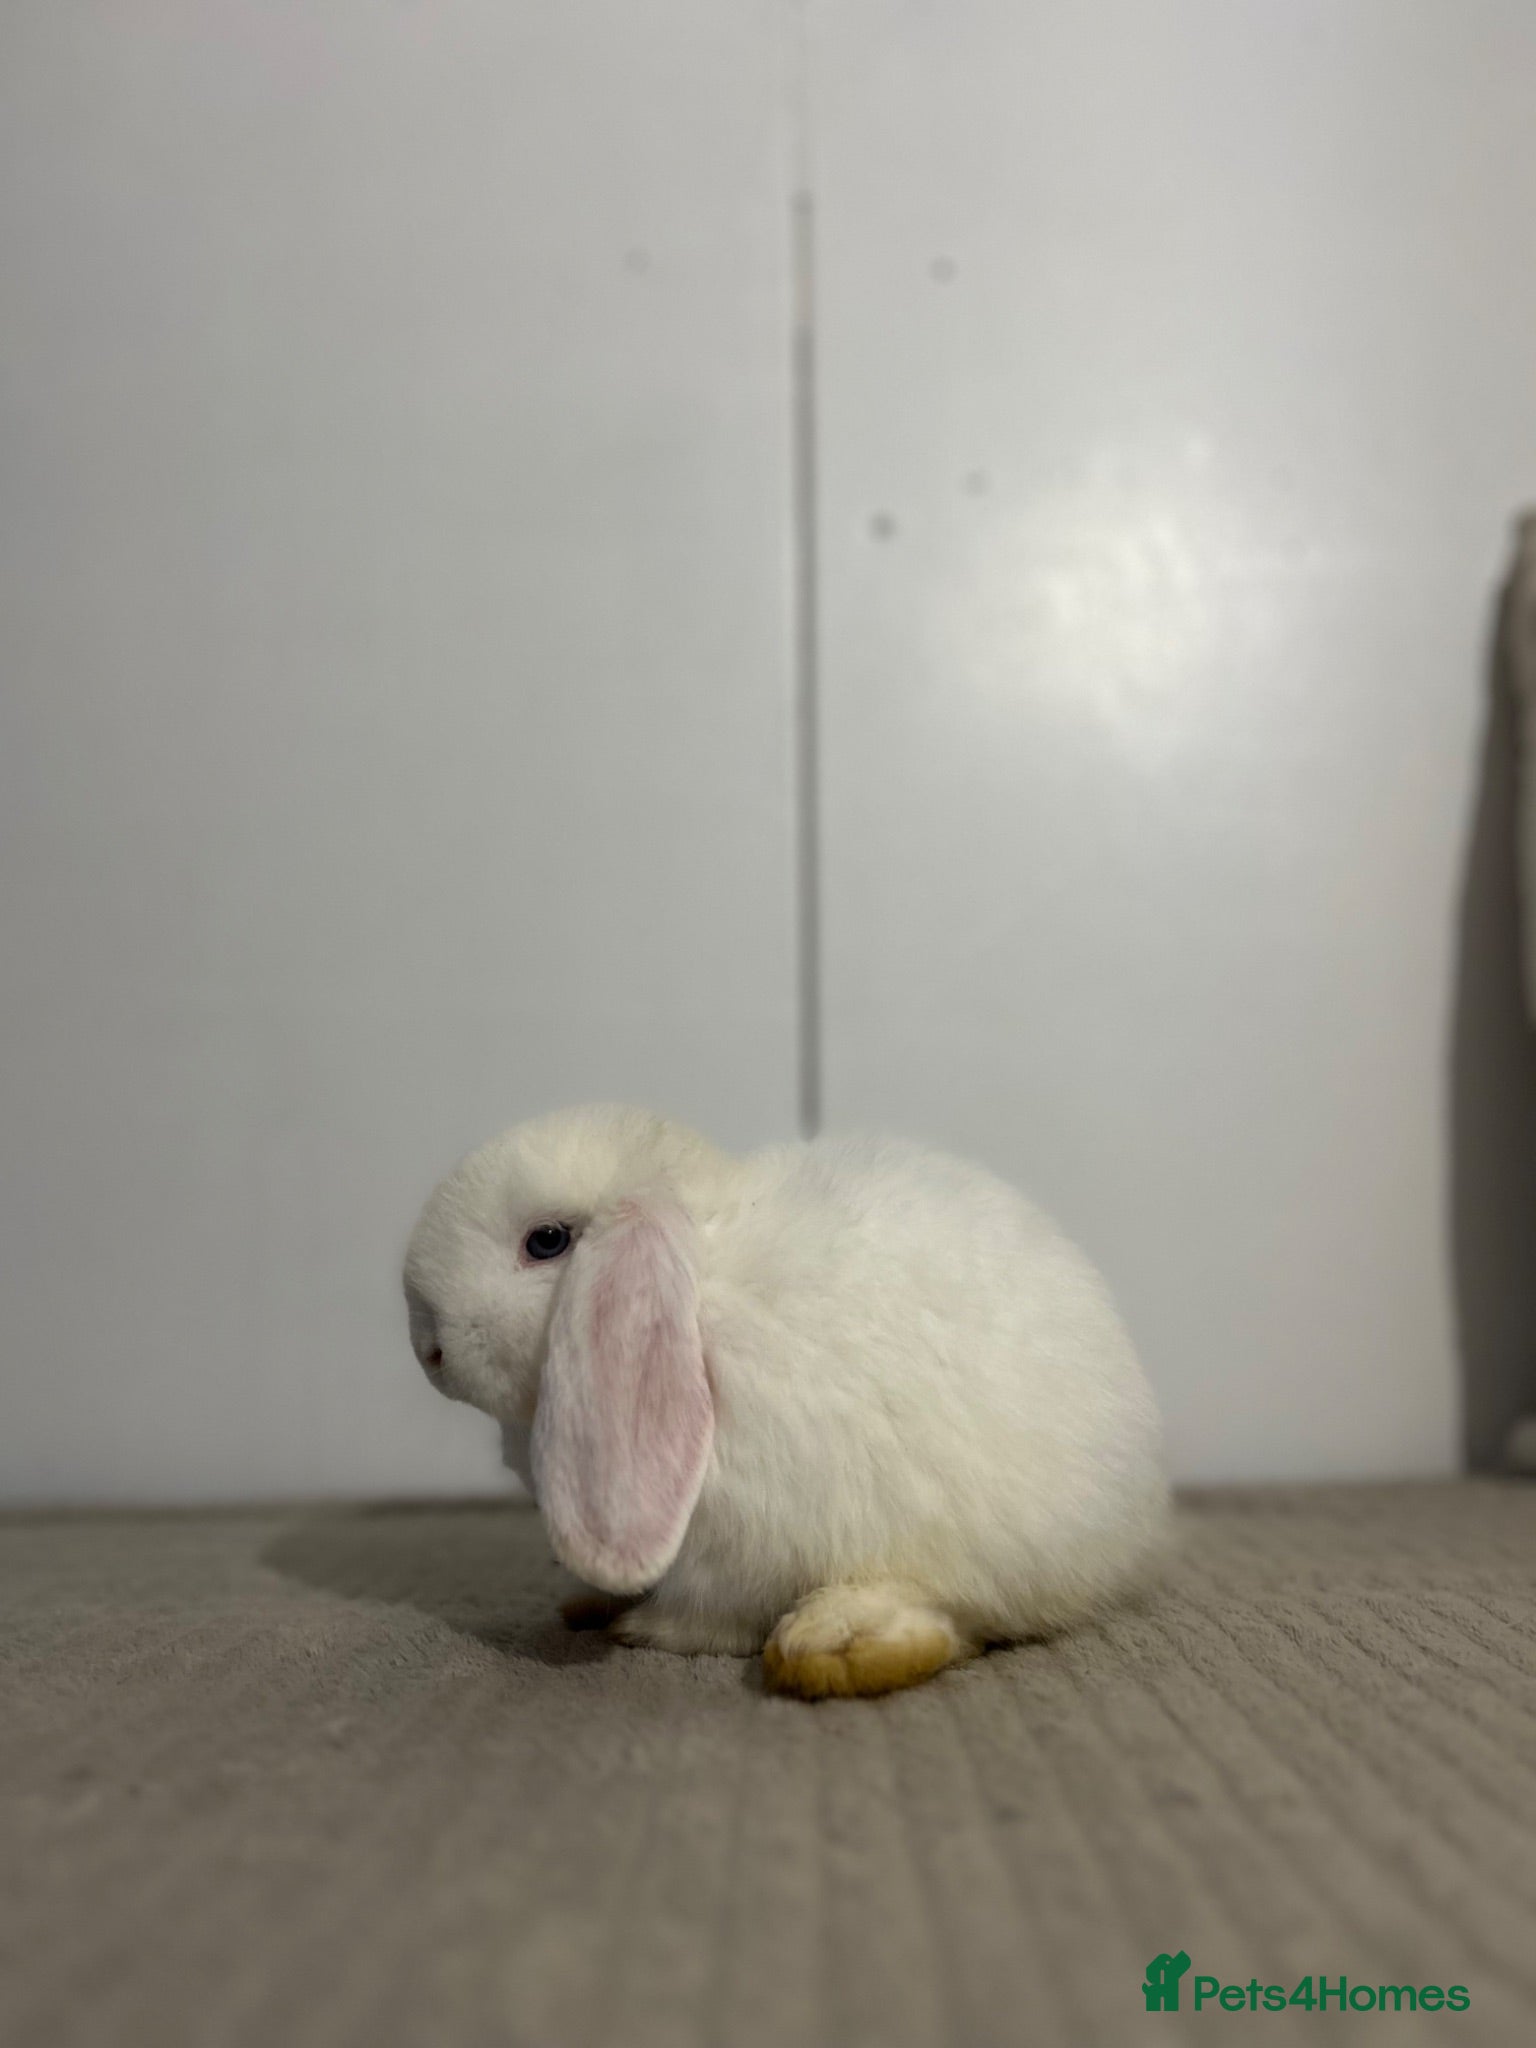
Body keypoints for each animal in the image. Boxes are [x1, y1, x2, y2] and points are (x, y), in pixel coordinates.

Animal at [402, 1103, 1169, 1698]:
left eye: (547, 1242)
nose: (427, 1349)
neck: (699, 1287)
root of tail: (1135, 1526)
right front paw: (605, 1603)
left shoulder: (733, 1548)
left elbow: (711, 1619)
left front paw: (647, 1631)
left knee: (949, 1614)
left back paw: (832, 1646)